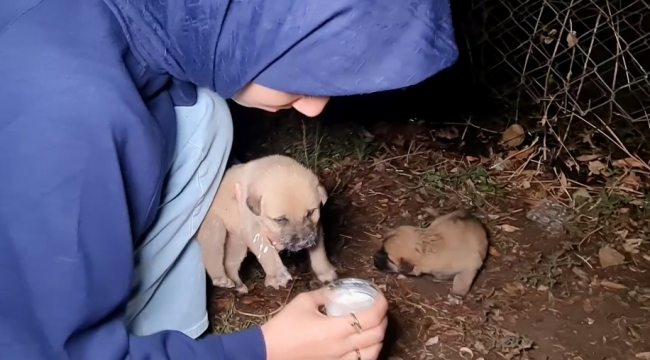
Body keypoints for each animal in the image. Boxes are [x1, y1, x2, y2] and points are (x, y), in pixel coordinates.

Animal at [195, 154, 336, 292]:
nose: (304, 243)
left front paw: (325, 272)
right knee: (211, 255)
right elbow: (267, 252)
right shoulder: (253, 229)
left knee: (230, 262)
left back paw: (238, 286)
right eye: (280, 220)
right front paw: (277, 276)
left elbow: (319, 252)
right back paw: (221, 279)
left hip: (236, 241)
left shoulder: (316, 228)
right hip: (214, 229)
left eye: (310, 213)